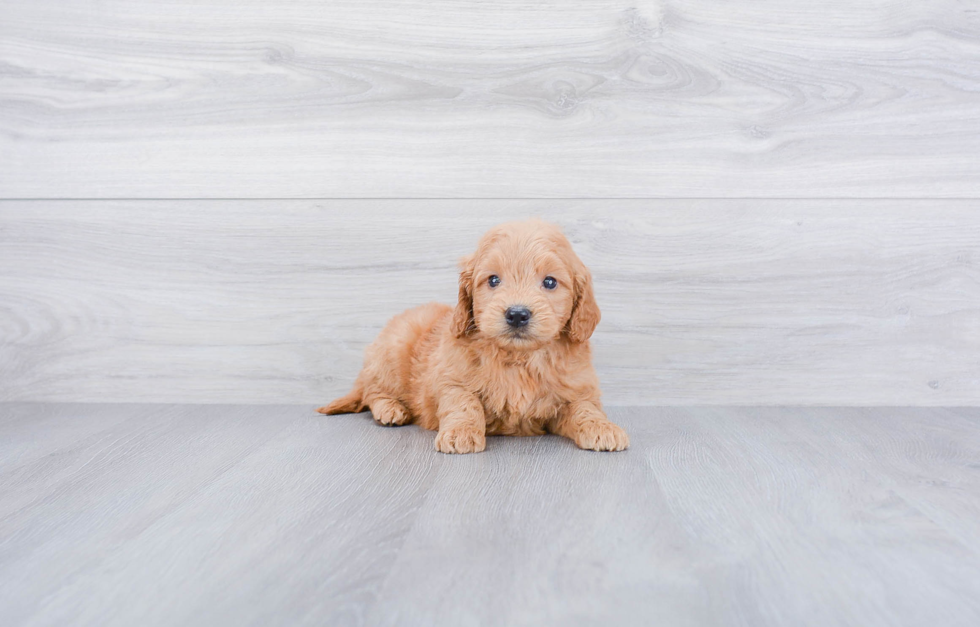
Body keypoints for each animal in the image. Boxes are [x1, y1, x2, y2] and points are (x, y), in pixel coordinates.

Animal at [318, 218, 632, 454]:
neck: (518, 358)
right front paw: (460, 433)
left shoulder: (576, 389)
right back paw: (391, 409)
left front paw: (603, 428)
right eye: (493, 280)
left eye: (550, 282)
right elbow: (464, 403)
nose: (517, 314)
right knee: (372, 392)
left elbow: (585, 408)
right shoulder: (450, 379)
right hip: (392, 353)